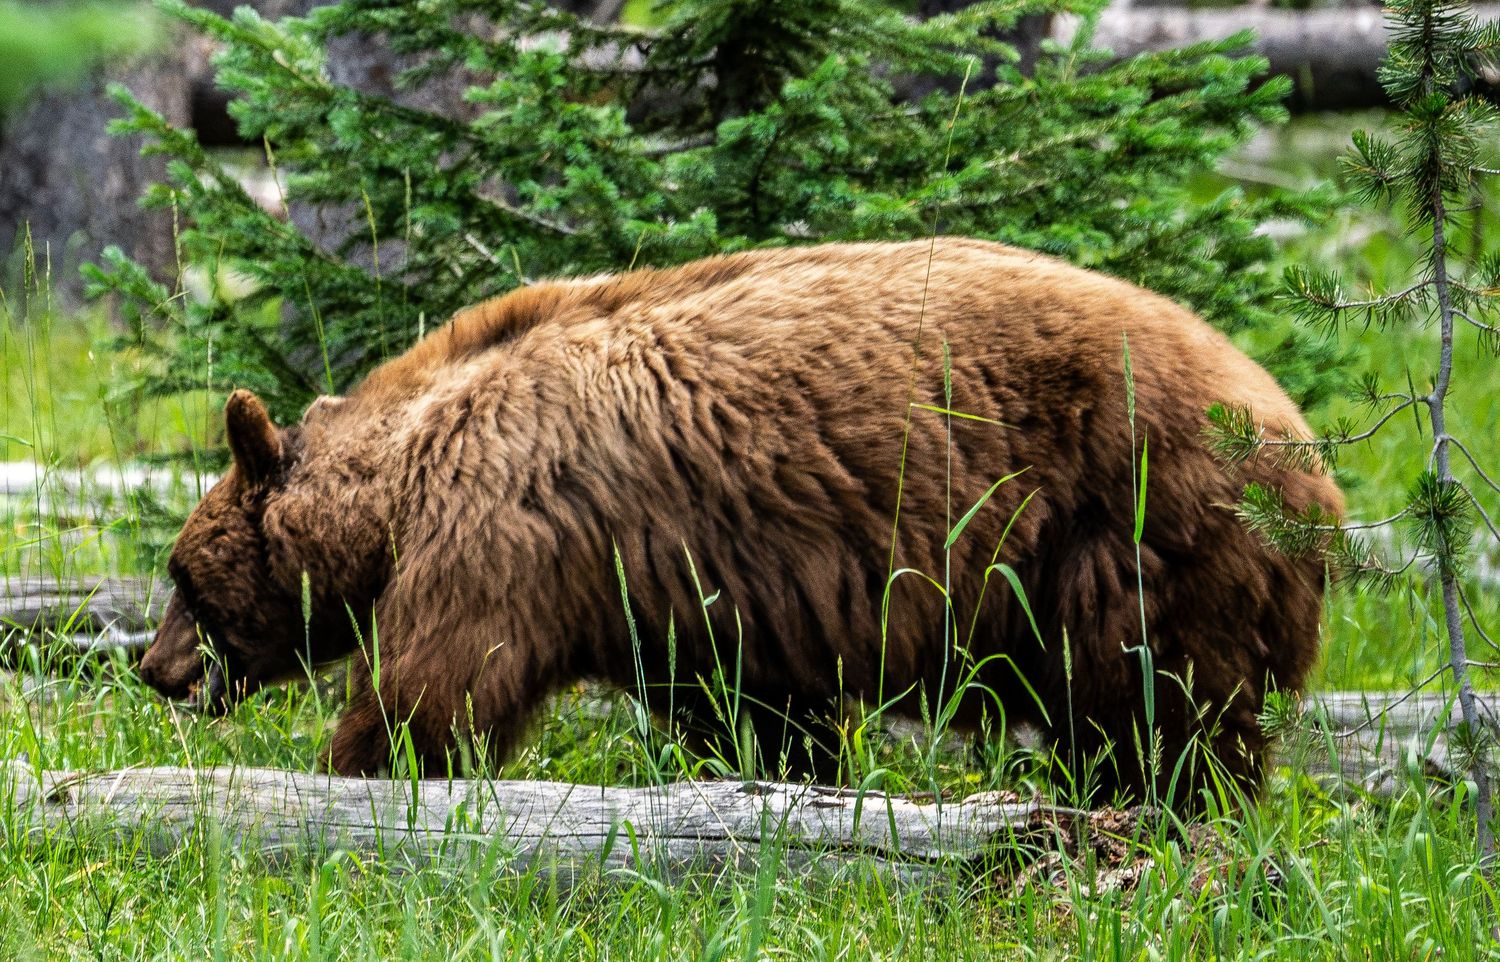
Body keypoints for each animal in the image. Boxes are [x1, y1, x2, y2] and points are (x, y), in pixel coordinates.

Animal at [138, 237, 1342, 806]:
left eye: (183, 576)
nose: (153, 668)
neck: (398, 480)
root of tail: (1305, 442)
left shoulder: (505, 523)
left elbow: (438, 683)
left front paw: (358, 771)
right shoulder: (693, 594)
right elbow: (753, 710)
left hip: (1140, 525)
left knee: (1160, 707)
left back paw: (1161, 810)